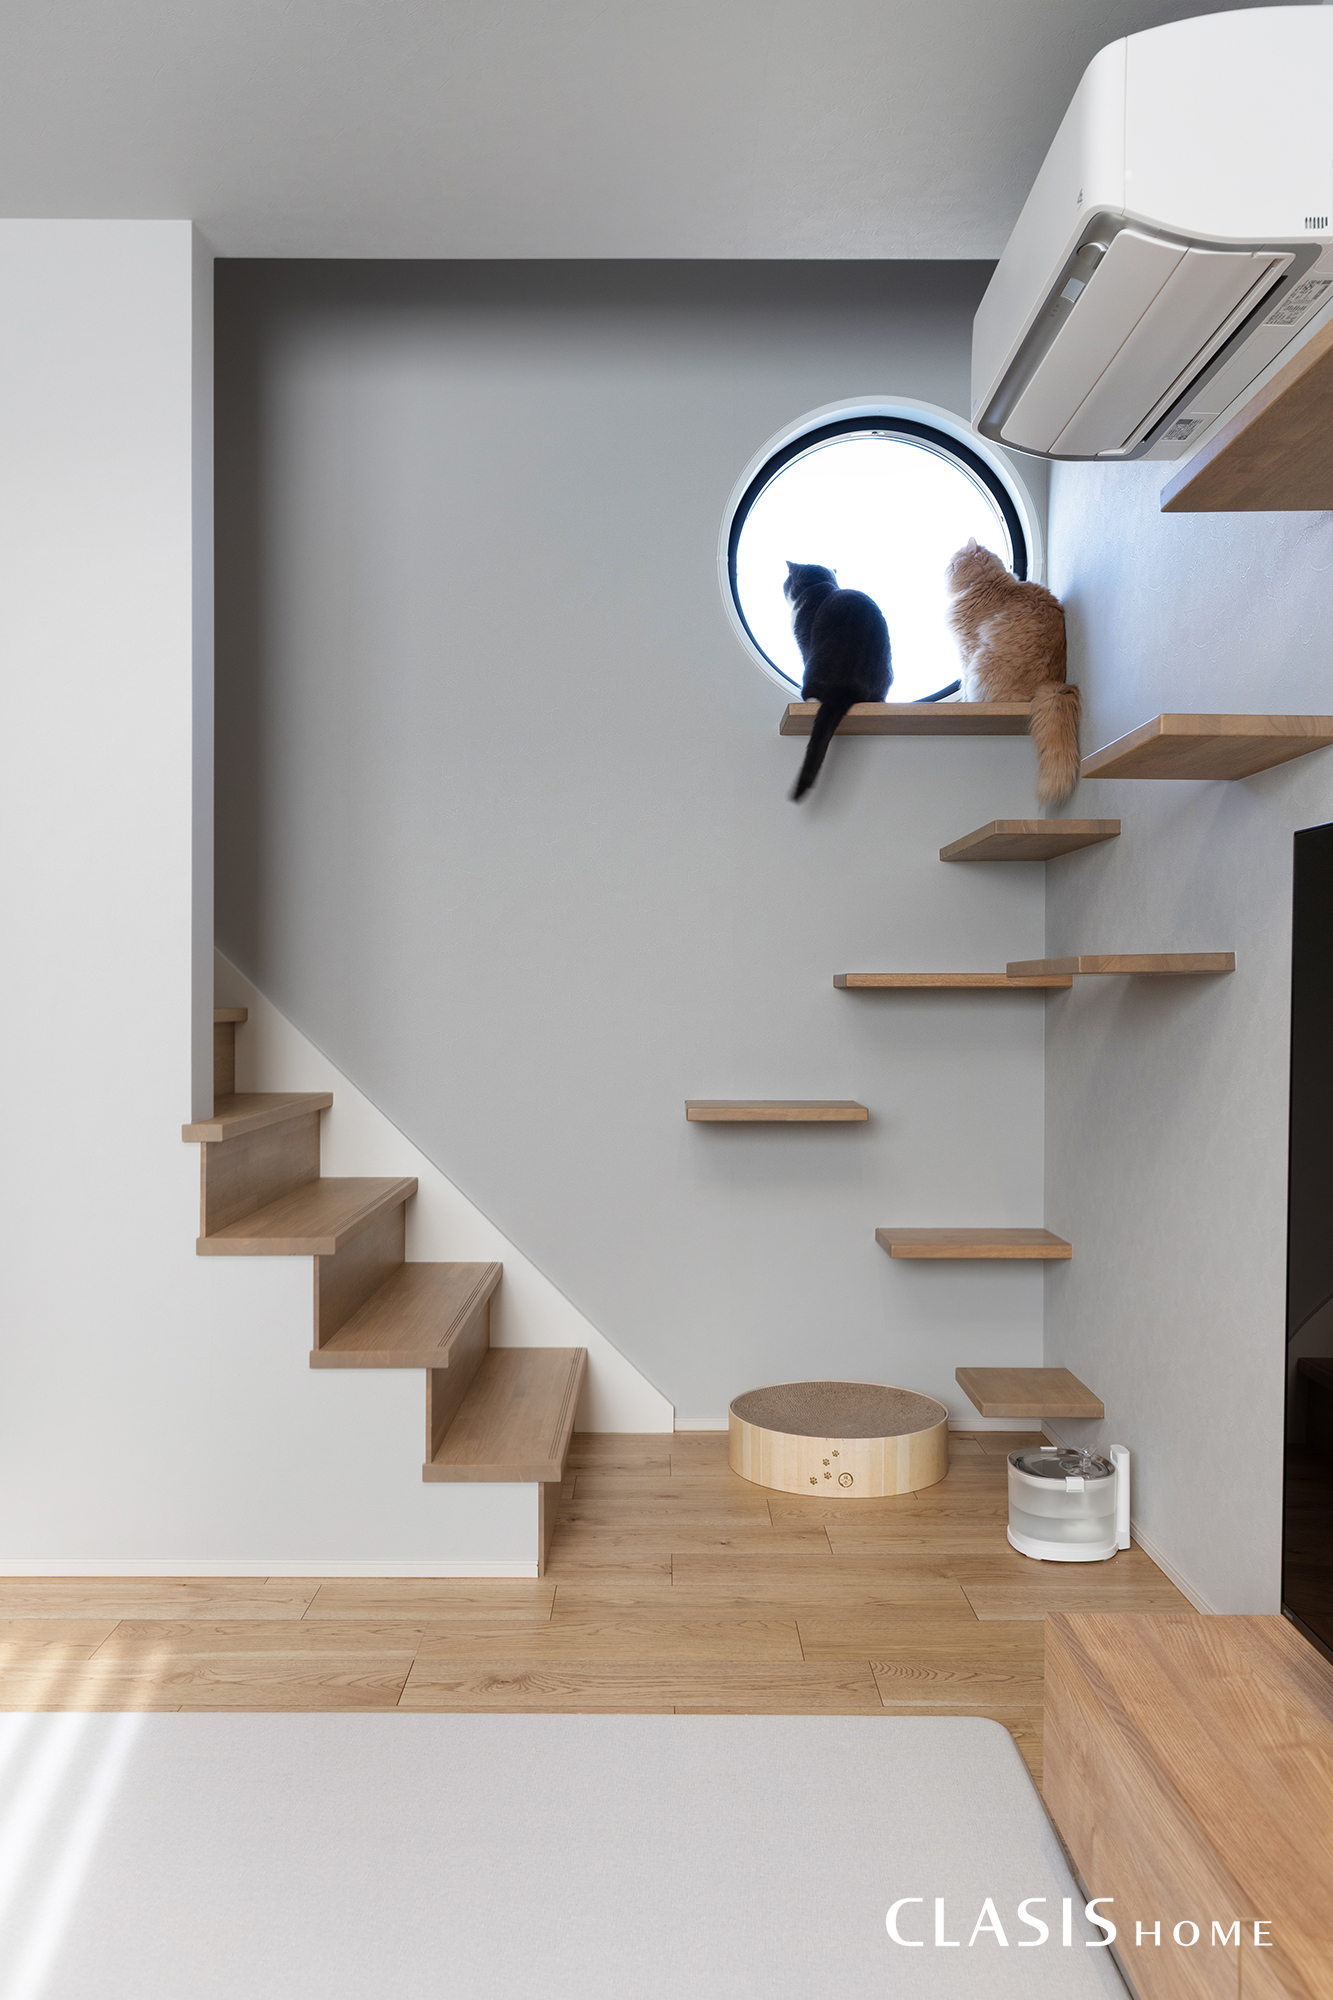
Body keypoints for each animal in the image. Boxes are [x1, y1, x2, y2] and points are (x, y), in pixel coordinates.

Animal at [944, 539, 1080, 805]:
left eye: (952, 562)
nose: (944, 569)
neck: (985, 581)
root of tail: (1052, 685)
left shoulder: (968, 648)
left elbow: (963, 682)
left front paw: (965, 703)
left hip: (981, 661)